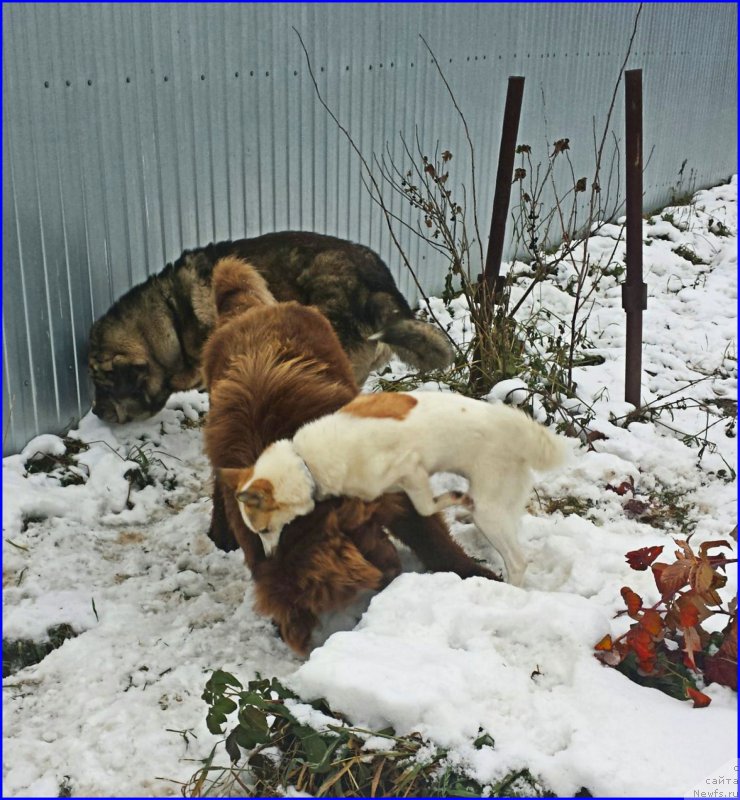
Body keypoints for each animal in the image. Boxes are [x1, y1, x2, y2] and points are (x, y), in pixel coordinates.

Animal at [220, 390, 568, 584]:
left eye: (264, 531)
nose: (268, 558)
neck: (306, 463)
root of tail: (521, 432)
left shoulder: (410, 467)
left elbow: (426, 506)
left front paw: (452, 497)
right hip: (495, 506)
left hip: (490, 513)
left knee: (517, 562)